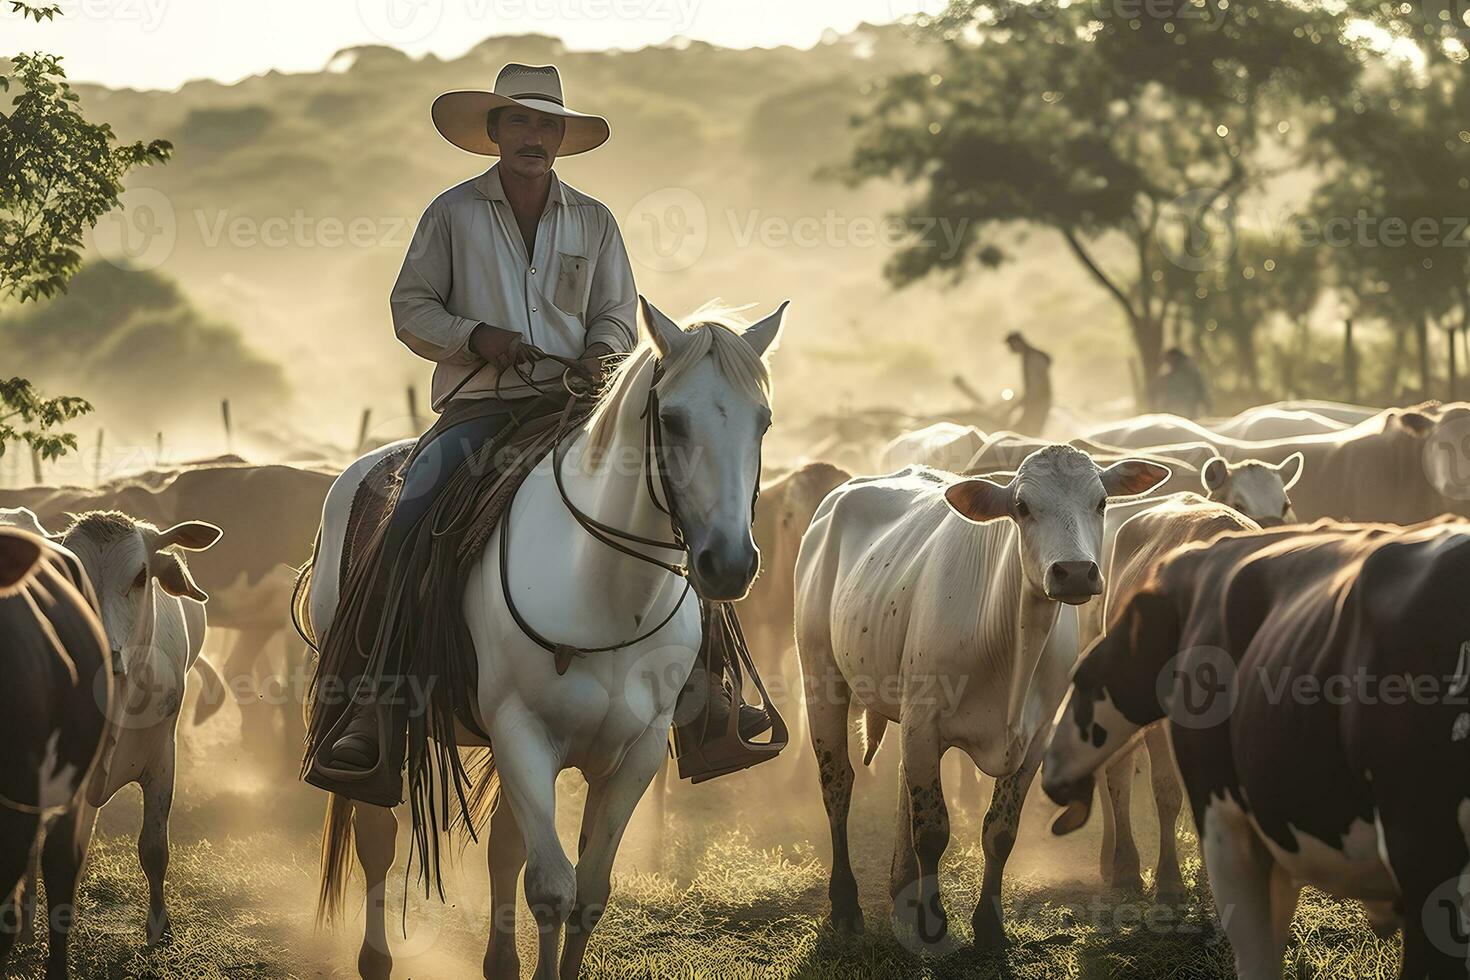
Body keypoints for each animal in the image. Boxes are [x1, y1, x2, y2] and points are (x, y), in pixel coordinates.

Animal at [302, 299, 787, 980]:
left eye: (763, 421)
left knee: (505, 847)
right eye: (671, 419)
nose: (730, 564)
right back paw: (375, 957)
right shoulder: (522, 735)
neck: (605, 592)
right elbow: (553, 891)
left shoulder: (635, 753)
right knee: (378, 840)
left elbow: (587, 893)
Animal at [799, 449, 1164, 946]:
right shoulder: (924, 723)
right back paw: (845, 904)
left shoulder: (1034, 740)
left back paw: (901, 886)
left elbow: (1000, 831)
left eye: (1102, 501)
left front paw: (989, 924)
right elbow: (932, 829)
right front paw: (932, 921)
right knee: (837, 785)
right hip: (820, 675)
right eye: (1023, 506)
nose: (1073, 572)